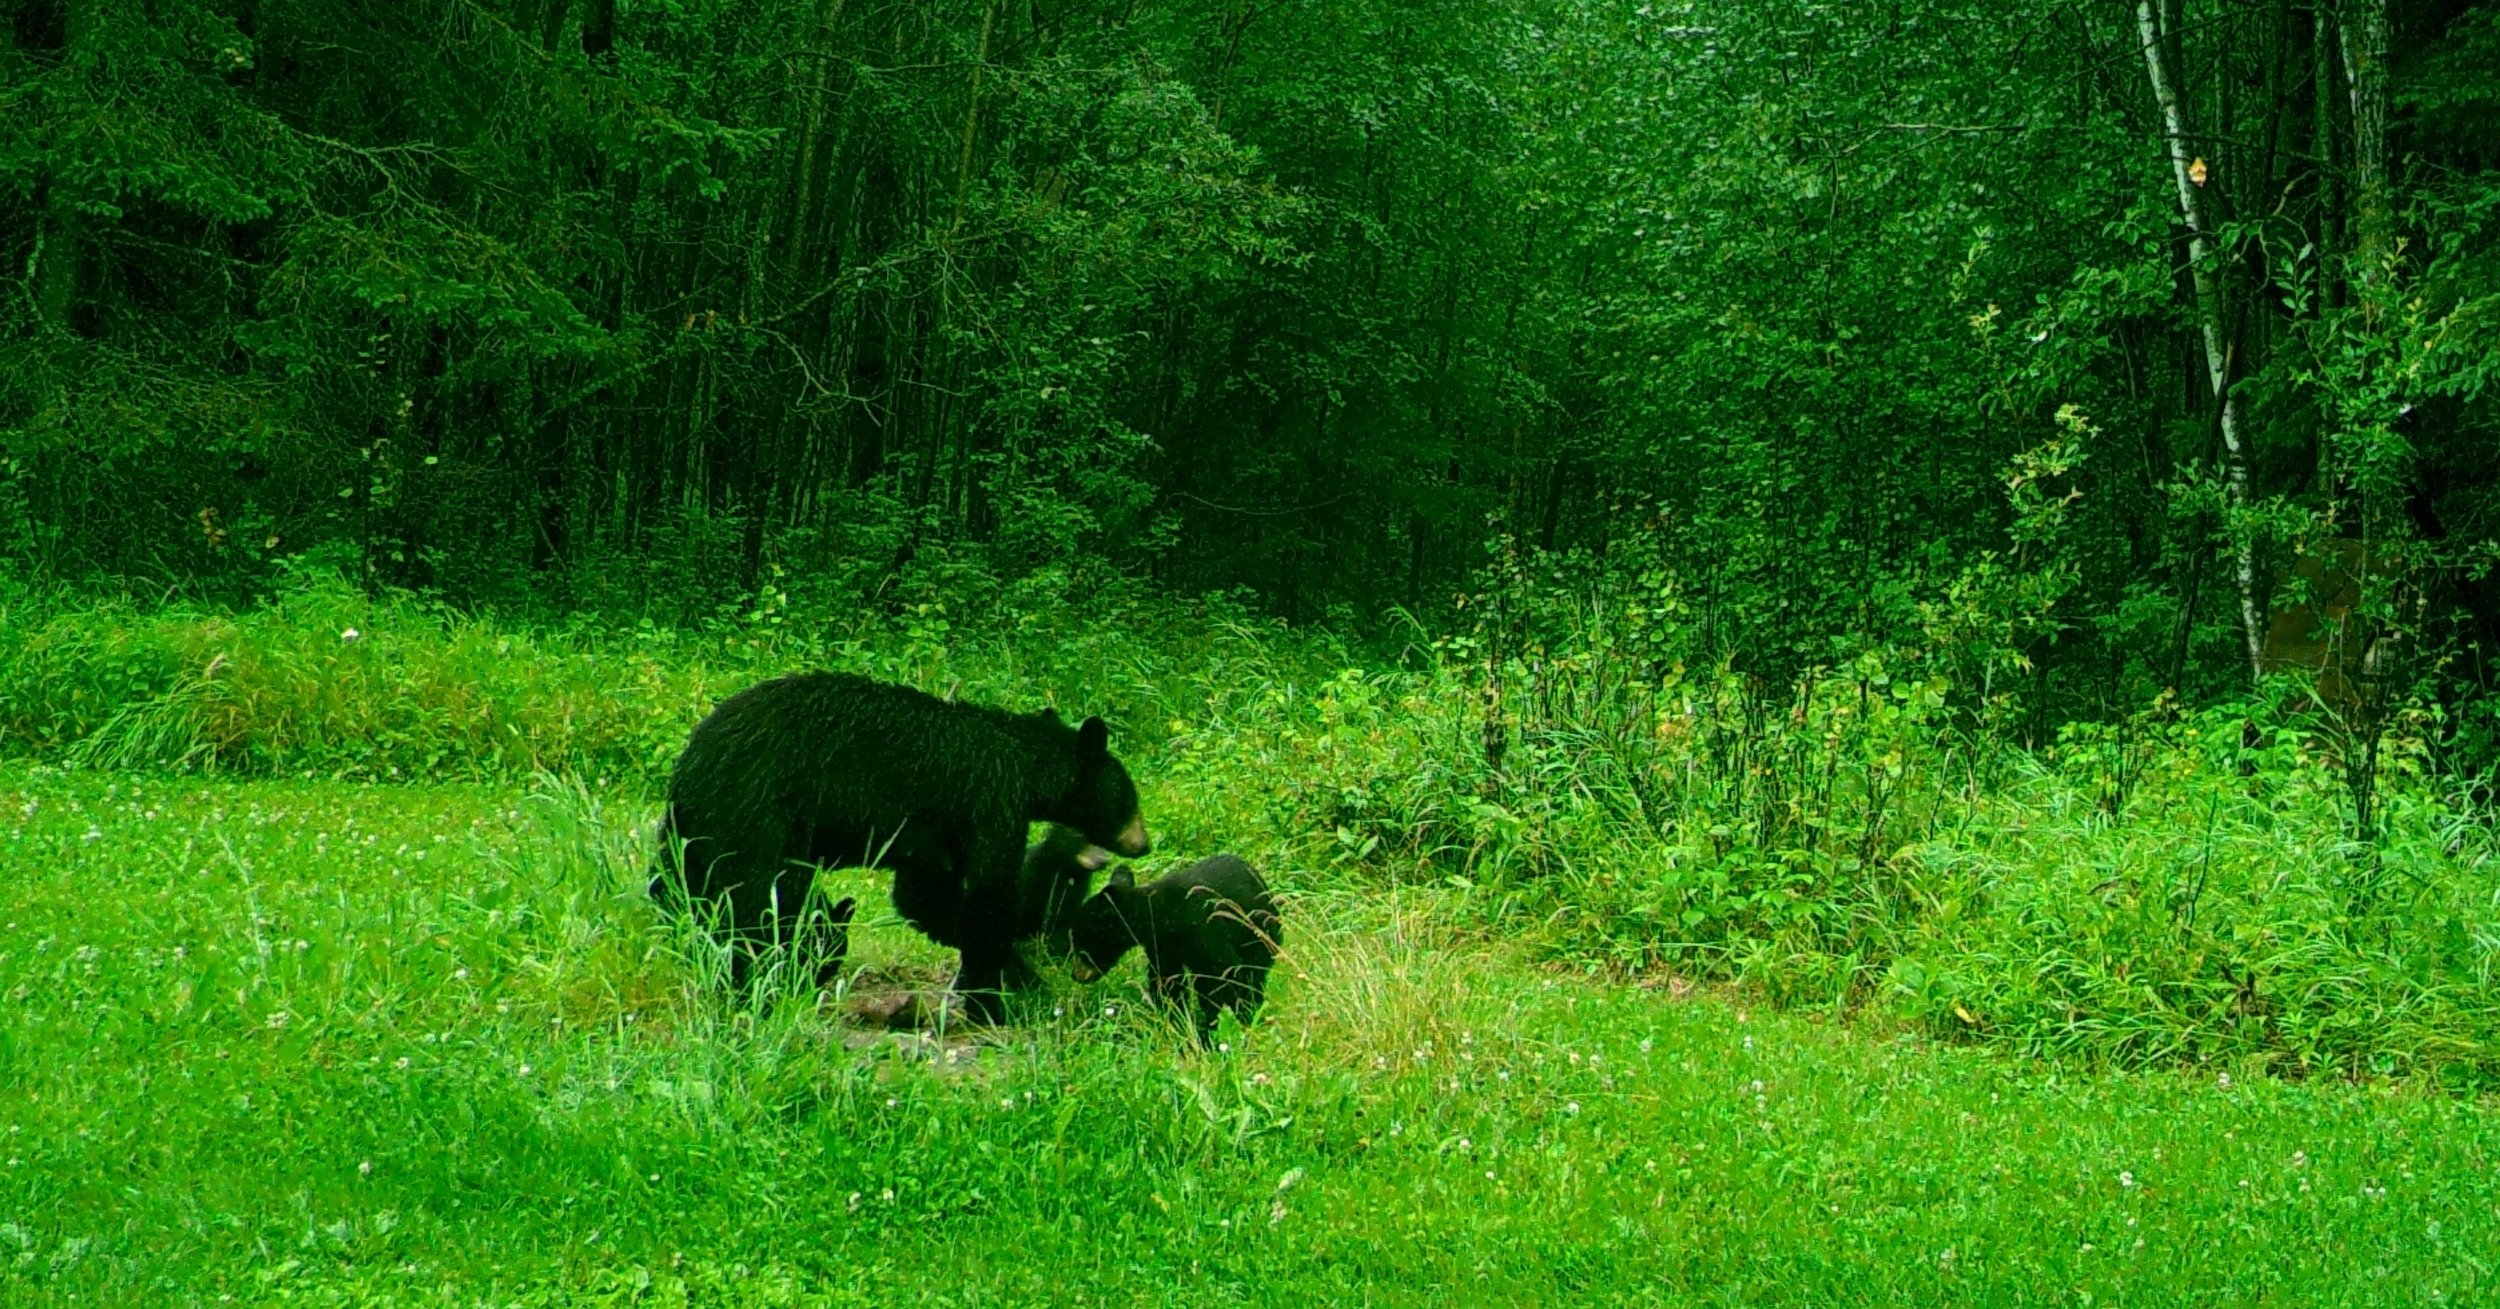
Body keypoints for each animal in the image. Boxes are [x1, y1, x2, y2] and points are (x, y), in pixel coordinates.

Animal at [650, 671, 1150, 1019]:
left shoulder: (935, 839)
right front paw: (998, 995)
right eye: (1129, 796)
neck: (1026, 766)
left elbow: (927, 899)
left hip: (689, 839)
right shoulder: (991, 803)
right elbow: (989, 896)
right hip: (753, 811)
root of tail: (689, 767)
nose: (1143, 843)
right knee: (760, 900)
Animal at [1063, 854, 1281, 1044]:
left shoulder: (1204, 929)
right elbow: (1167, 983)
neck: (1162, 916)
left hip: (1260, 937)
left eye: (1080, 942)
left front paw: (1213, 1031)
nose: (1075, 974)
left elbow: (1222, 979)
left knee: (1254, 975)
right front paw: (1177, 1022)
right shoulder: (1163, 947)